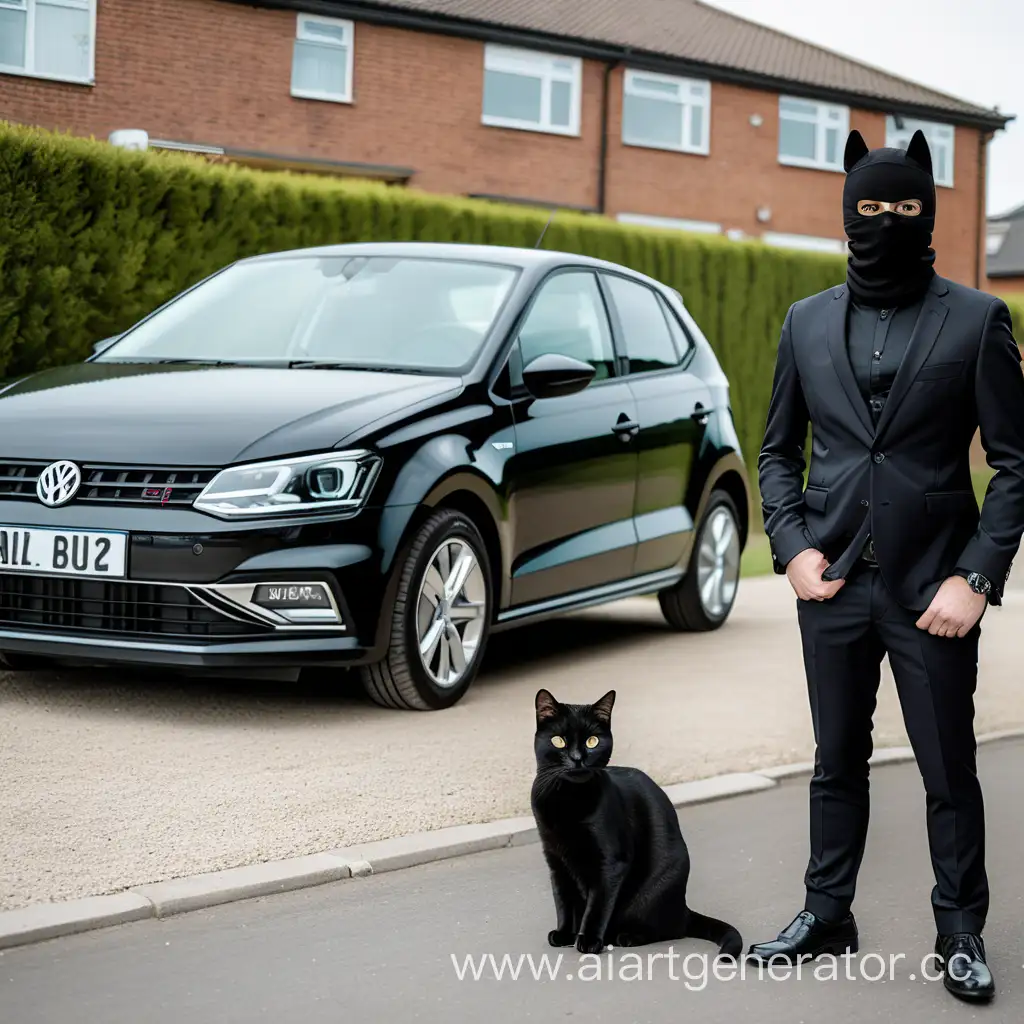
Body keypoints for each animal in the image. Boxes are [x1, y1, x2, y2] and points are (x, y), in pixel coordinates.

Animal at [532, 688, 741, 958]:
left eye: (592, 741)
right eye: (559, 741)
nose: (577, 759)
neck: (567, 800)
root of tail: (683, 907)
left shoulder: (611, 862)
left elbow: (597, 904)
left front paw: (588, 939)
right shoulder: (556, 860)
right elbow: (563, 900)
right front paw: (565, 933)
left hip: (651, 894)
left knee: (670, 929)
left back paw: (627, 936)